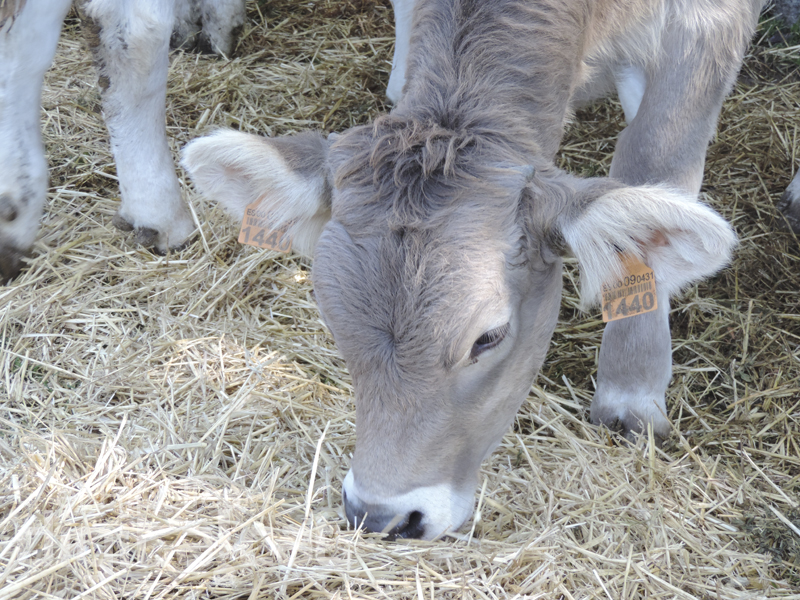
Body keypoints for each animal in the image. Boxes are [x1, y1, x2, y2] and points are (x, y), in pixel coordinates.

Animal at [183, 0, 766, 540]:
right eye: (332, 322)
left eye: (489, 337)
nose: (381, 515)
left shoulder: (708, 23)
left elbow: (654, 161)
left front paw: (631, 395)